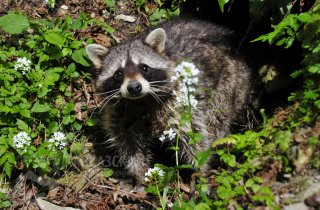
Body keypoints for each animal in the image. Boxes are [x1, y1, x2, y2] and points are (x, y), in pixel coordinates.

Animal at [85, 19, 252, 184]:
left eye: (144, 68)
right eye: (118, 74)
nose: (134, 87)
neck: (141, 101)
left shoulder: (179, 103)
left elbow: (194, 136)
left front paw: (201, 168)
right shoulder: (119, 114)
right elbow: (129, 145)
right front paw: (140, 175)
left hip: (230, 85)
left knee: (217, 121)